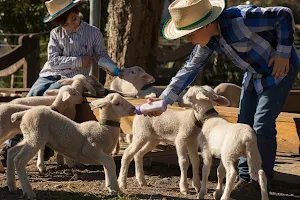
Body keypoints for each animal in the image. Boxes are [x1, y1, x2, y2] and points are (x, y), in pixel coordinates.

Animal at [7, 93, 136, 199]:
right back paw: (29, 192)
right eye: (117, 103)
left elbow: (106, 165)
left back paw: (11, 186)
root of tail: (24, 113)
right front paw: (116, 189)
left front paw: (110, 186)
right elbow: (110, 163)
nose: (134, 109)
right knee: (19, 160)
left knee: (12, 152)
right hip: (35, 136)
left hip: (29, 136)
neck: (105, 129)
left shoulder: (104, 152)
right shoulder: (91, 149)